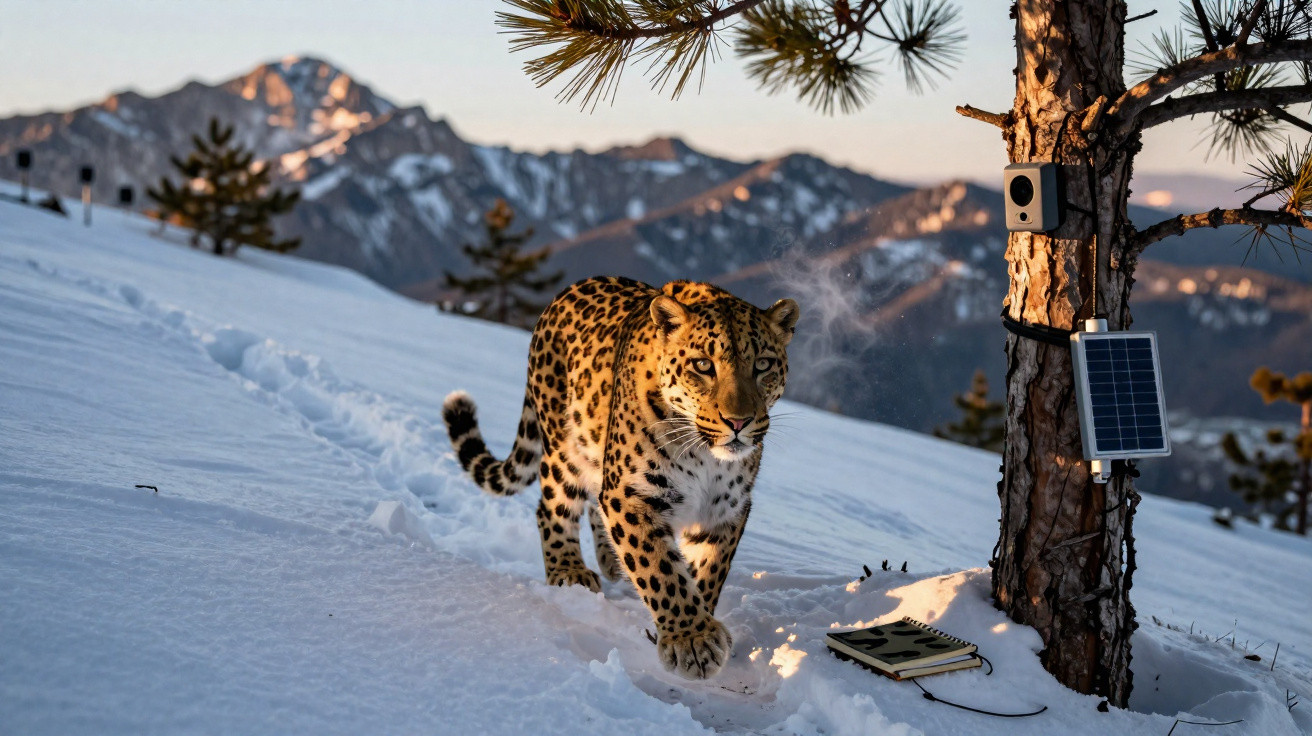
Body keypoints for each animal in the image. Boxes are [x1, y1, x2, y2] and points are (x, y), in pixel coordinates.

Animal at [443, 276, 799, 680]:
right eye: (703, 365)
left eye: (763, 365)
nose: (739, 422)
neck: (706, 457)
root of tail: (566, 291)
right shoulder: (632, 494)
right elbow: (661, 570)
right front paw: (691, 641)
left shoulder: (726, 509)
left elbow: (706, 569)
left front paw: (700, 622)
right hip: (564, 450)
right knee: (553, 508)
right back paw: (569, 571)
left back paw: (609, 560)